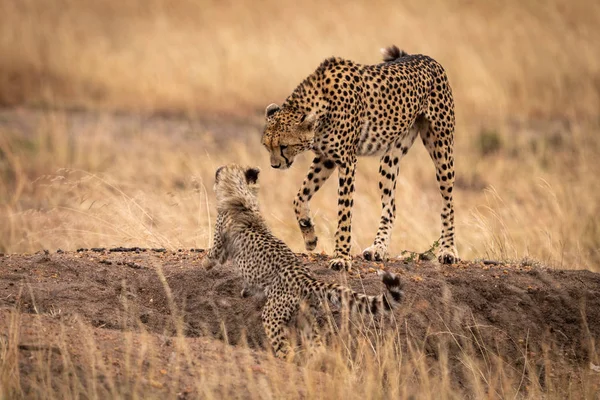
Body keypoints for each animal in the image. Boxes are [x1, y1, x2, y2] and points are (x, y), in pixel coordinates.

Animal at [203, 164, 404, 358]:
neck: (239, 193)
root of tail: (307, 279)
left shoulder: (221, 245)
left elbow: (212, 255)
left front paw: (205, 264)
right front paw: (246, 290)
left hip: (273, 314)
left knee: (283, 345)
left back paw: (286, 359)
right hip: (305, 316)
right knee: (317, 343)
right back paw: (320, 360)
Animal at [262, 45, 460, 270]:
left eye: (284, 146)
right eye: (267, 147)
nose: (275, 165)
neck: (321, 105)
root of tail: (424, 56)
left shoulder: (347, 161)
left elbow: (344, 212)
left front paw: (341, 257)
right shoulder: (326, 158)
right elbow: (299, 197)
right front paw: (309, 234)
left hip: (442, 148)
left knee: (448, 203)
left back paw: (448, 251)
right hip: (390, 158)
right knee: (390, 206)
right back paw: (378, 249)